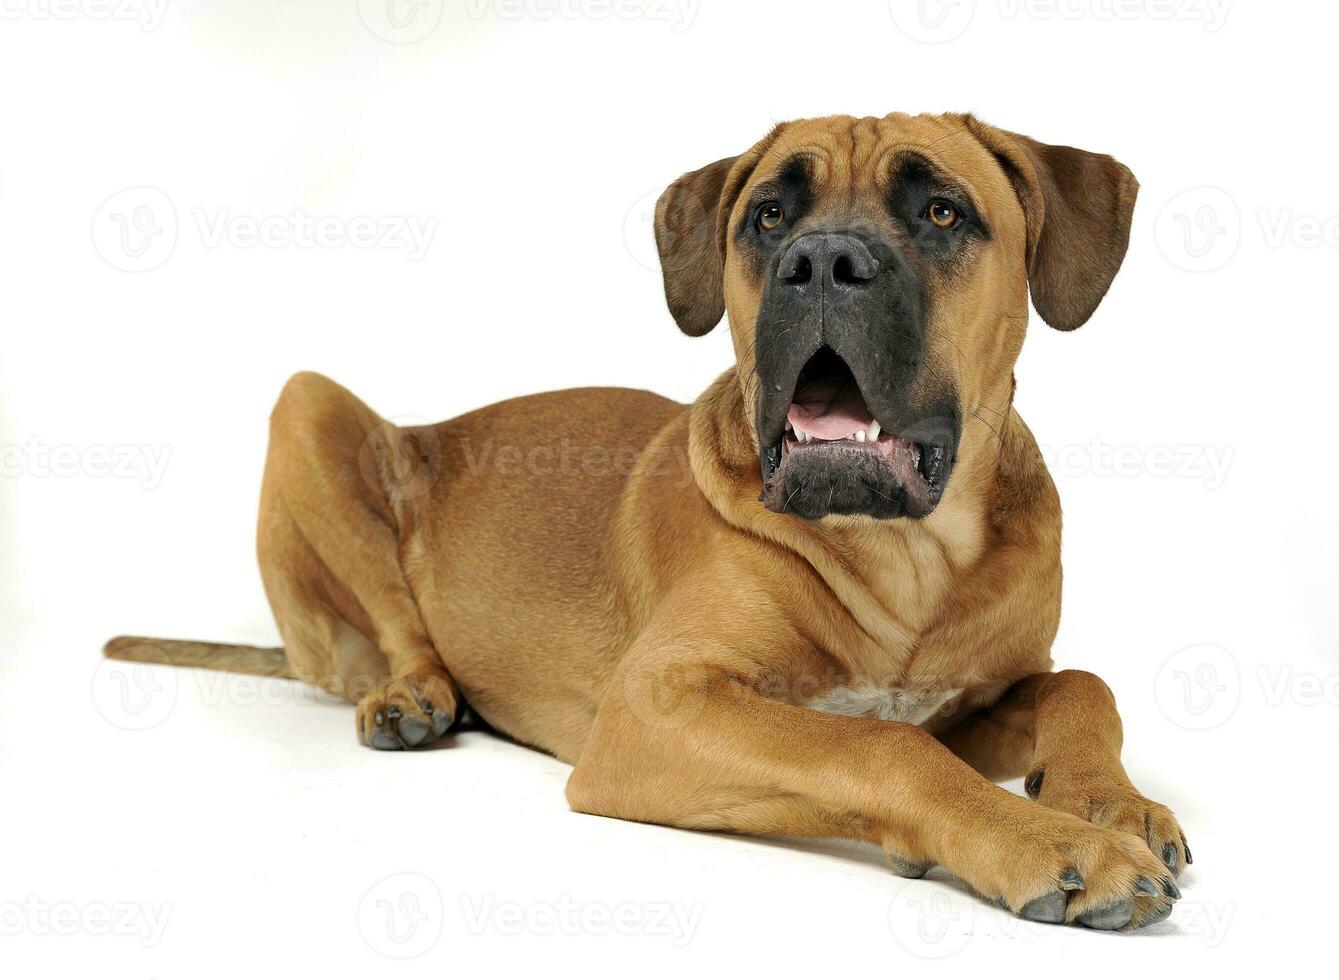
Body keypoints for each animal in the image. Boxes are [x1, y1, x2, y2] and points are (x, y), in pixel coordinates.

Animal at [109, 111, 1189, 931]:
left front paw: (1111, 798)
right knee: (398, 630)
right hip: (309, 407)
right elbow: (878, 746)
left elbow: (1079, 684)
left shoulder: (978, 697)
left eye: (940, 210)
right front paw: (1051, 840)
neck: (907, 552)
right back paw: (414, 696)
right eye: (768, 215)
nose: (822, 259)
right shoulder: (658, 708)